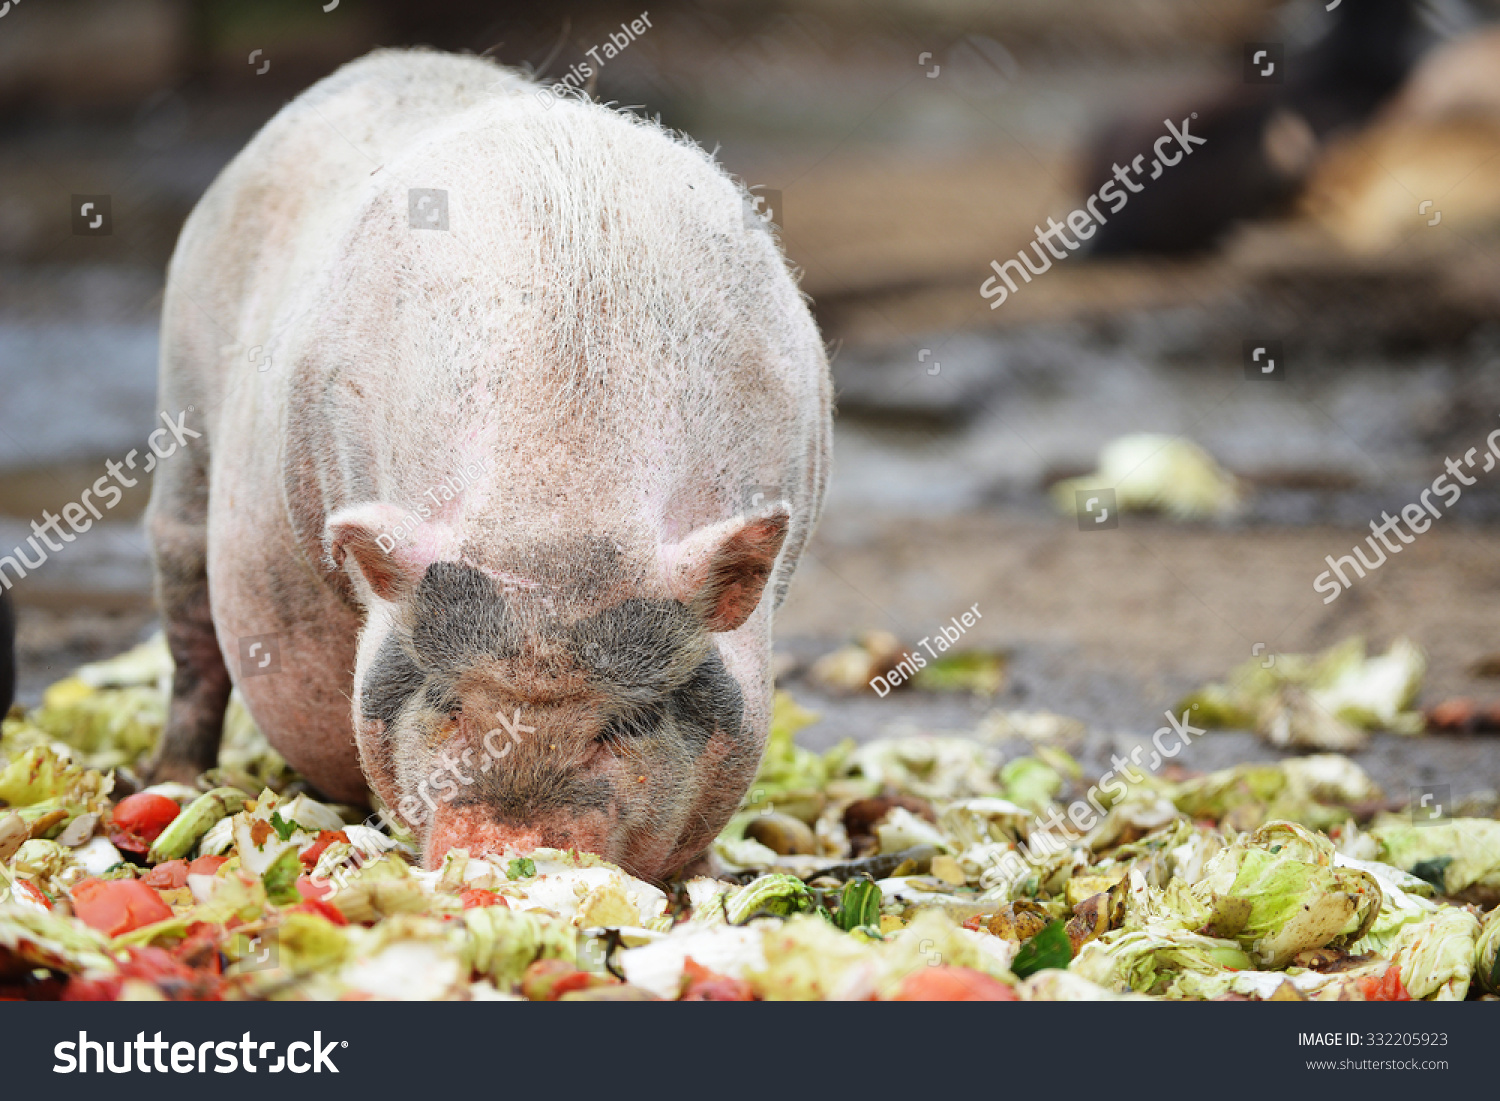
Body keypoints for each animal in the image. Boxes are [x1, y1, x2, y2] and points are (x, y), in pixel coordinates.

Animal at [146, 49, 834, 888]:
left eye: (628, 721)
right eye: (448, 702)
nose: (503, 852)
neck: (559, 499)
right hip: (184, 433)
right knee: (190, 628)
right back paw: (173, 781)